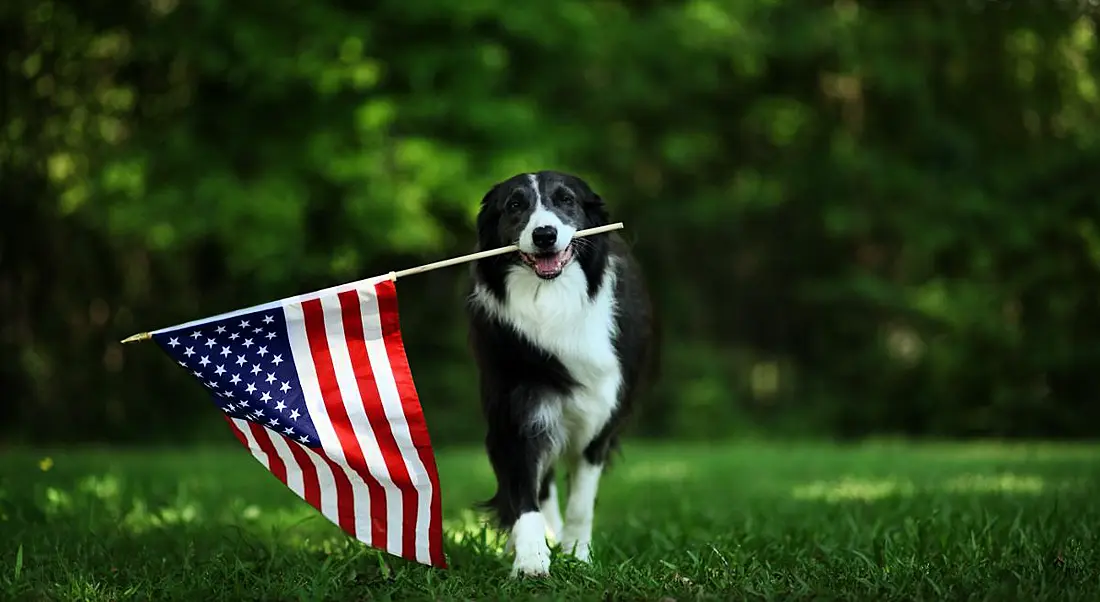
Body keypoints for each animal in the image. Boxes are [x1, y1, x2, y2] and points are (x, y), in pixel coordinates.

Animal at [462, 170, 651, 581]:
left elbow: (581, 500)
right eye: (515, 204)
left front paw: (577, 554)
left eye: (566, 200)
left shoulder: (600, 419)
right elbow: (523, 493)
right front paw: (532, 558)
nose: (545, 234)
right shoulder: (515, 413)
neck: (551, 300)